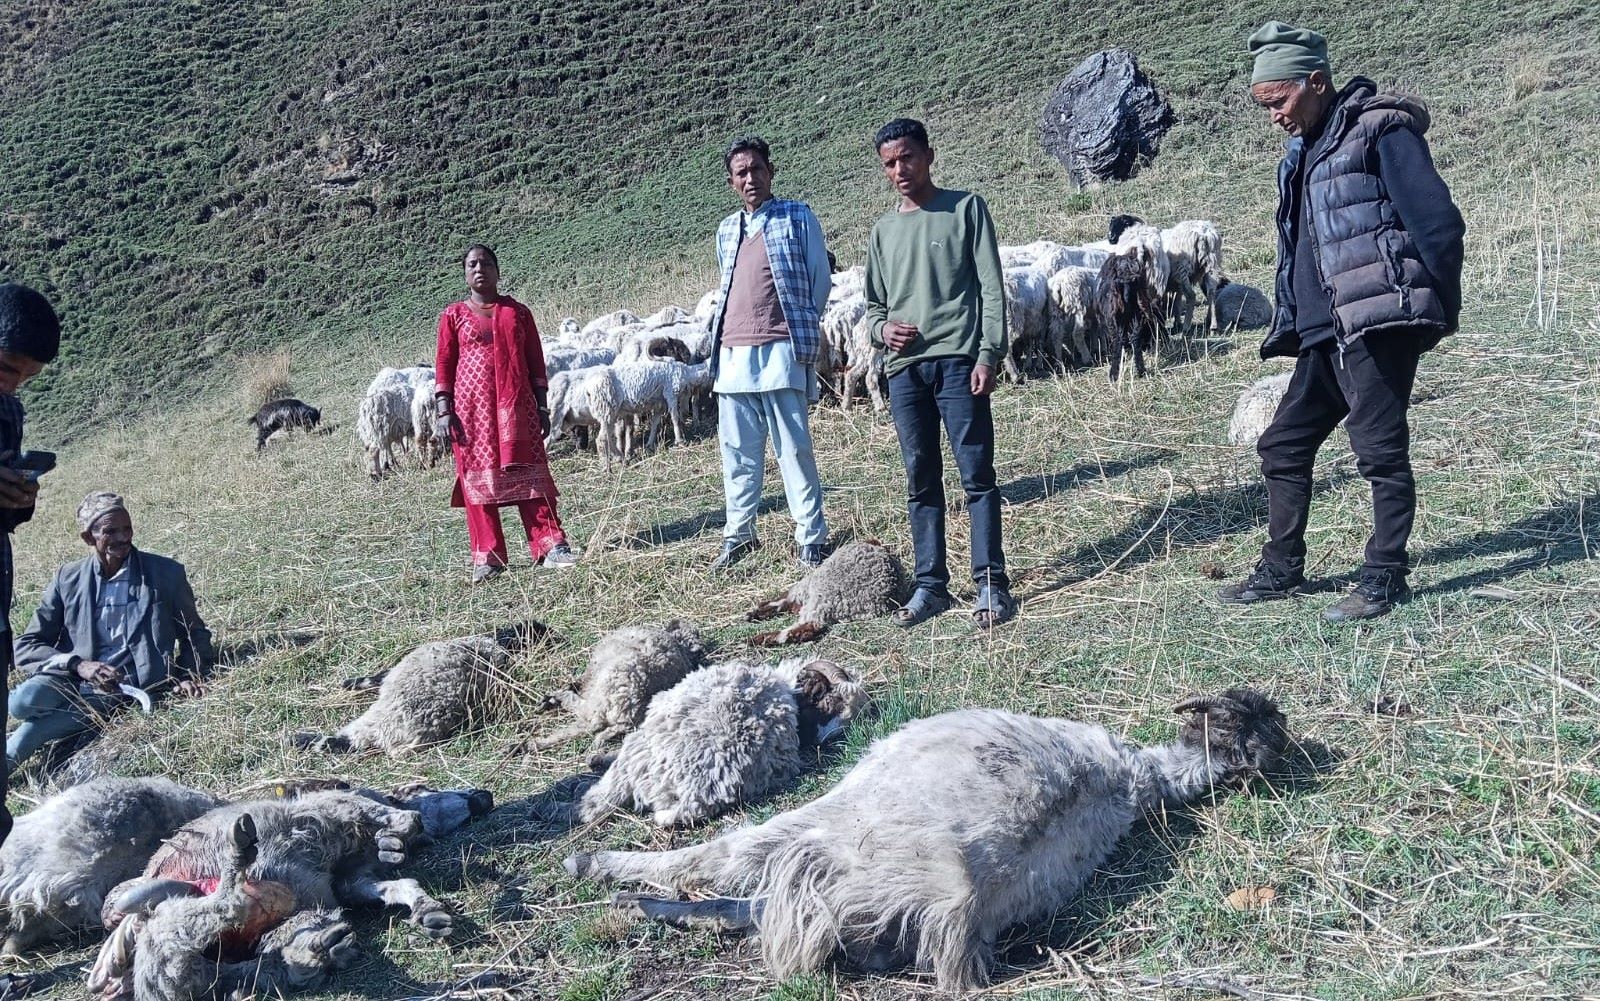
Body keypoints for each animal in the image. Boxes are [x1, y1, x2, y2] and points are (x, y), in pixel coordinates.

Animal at [528, 620, 708, 753]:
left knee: (588, 721)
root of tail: (628, 711)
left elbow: (578, 682)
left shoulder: (592, 673)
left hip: (602, 693)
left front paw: (552, 698)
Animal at [1095, 252, 1163, 381]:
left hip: (1113, 315)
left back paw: (1113, 374)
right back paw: (1141, 370)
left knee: (1118, 339)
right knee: (1135, 337)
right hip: (1140, 309)